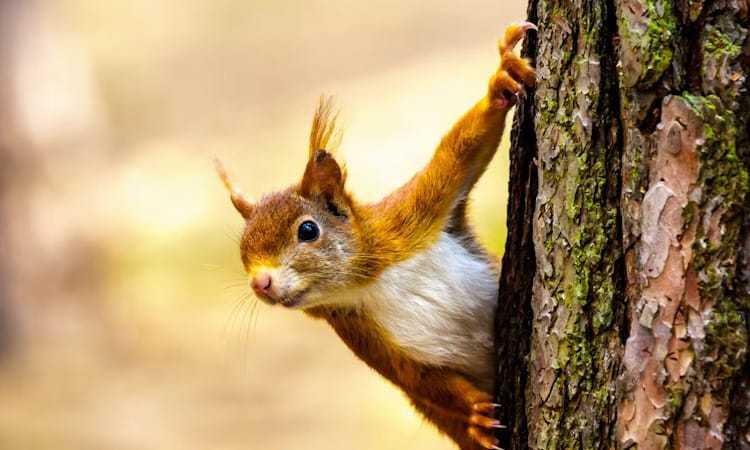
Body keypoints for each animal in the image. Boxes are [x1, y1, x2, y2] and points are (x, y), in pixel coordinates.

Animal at [214, 22, 536, 450]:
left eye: (308, 230)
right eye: (242, 253)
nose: (260, 283)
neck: (366, 282)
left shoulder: (412, 216)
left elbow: (461, 151)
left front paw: (501, 81)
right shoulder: (364, 337)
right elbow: (421, 380)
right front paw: (475, 417)